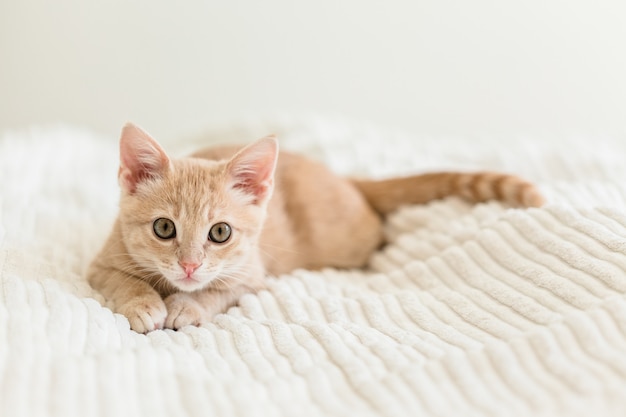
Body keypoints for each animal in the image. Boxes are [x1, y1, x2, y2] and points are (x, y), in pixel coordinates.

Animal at [86, 122, 540, 332]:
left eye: (220, 233)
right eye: (164, 229)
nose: (190, 266)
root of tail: (344, 178)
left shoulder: (253, 277)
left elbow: (217, 291)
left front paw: (186, 306)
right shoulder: (99, 265)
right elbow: (124, 280)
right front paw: (144, 303)